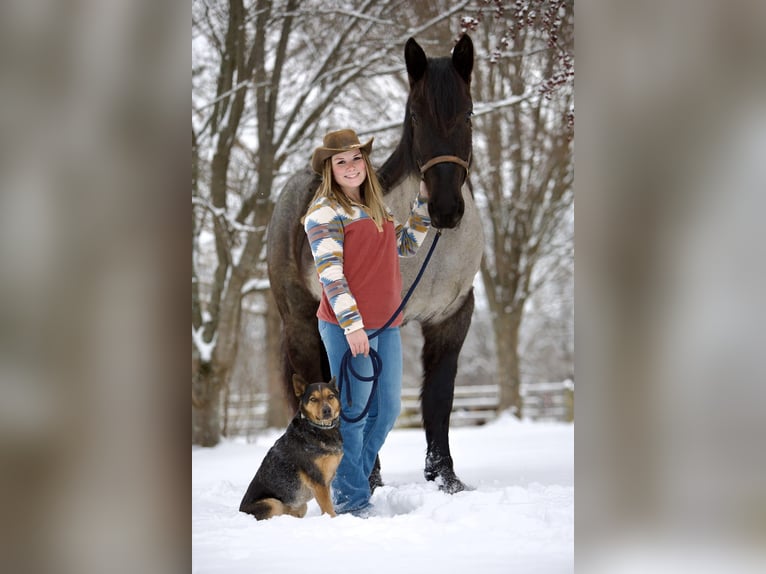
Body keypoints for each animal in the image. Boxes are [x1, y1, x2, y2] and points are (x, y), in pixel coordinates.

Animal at [238, 374, 344, 520]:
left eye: (331, 396)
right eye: (313, 399)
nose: (327, 410)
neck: (318, 429)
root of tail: (240, 511)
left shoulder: (325, 483)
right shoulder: (318, 481)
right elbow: (328, 509)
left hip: (300, 507)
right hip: (273, 503)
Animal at [268, 35, 484, 496]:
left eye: (469, 113)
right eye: (416, 115)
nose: (444, 210)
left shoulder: (452, 317)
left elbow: (439, 398)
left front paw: (445, 478)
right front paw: (373, 479)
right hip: (299, 321)